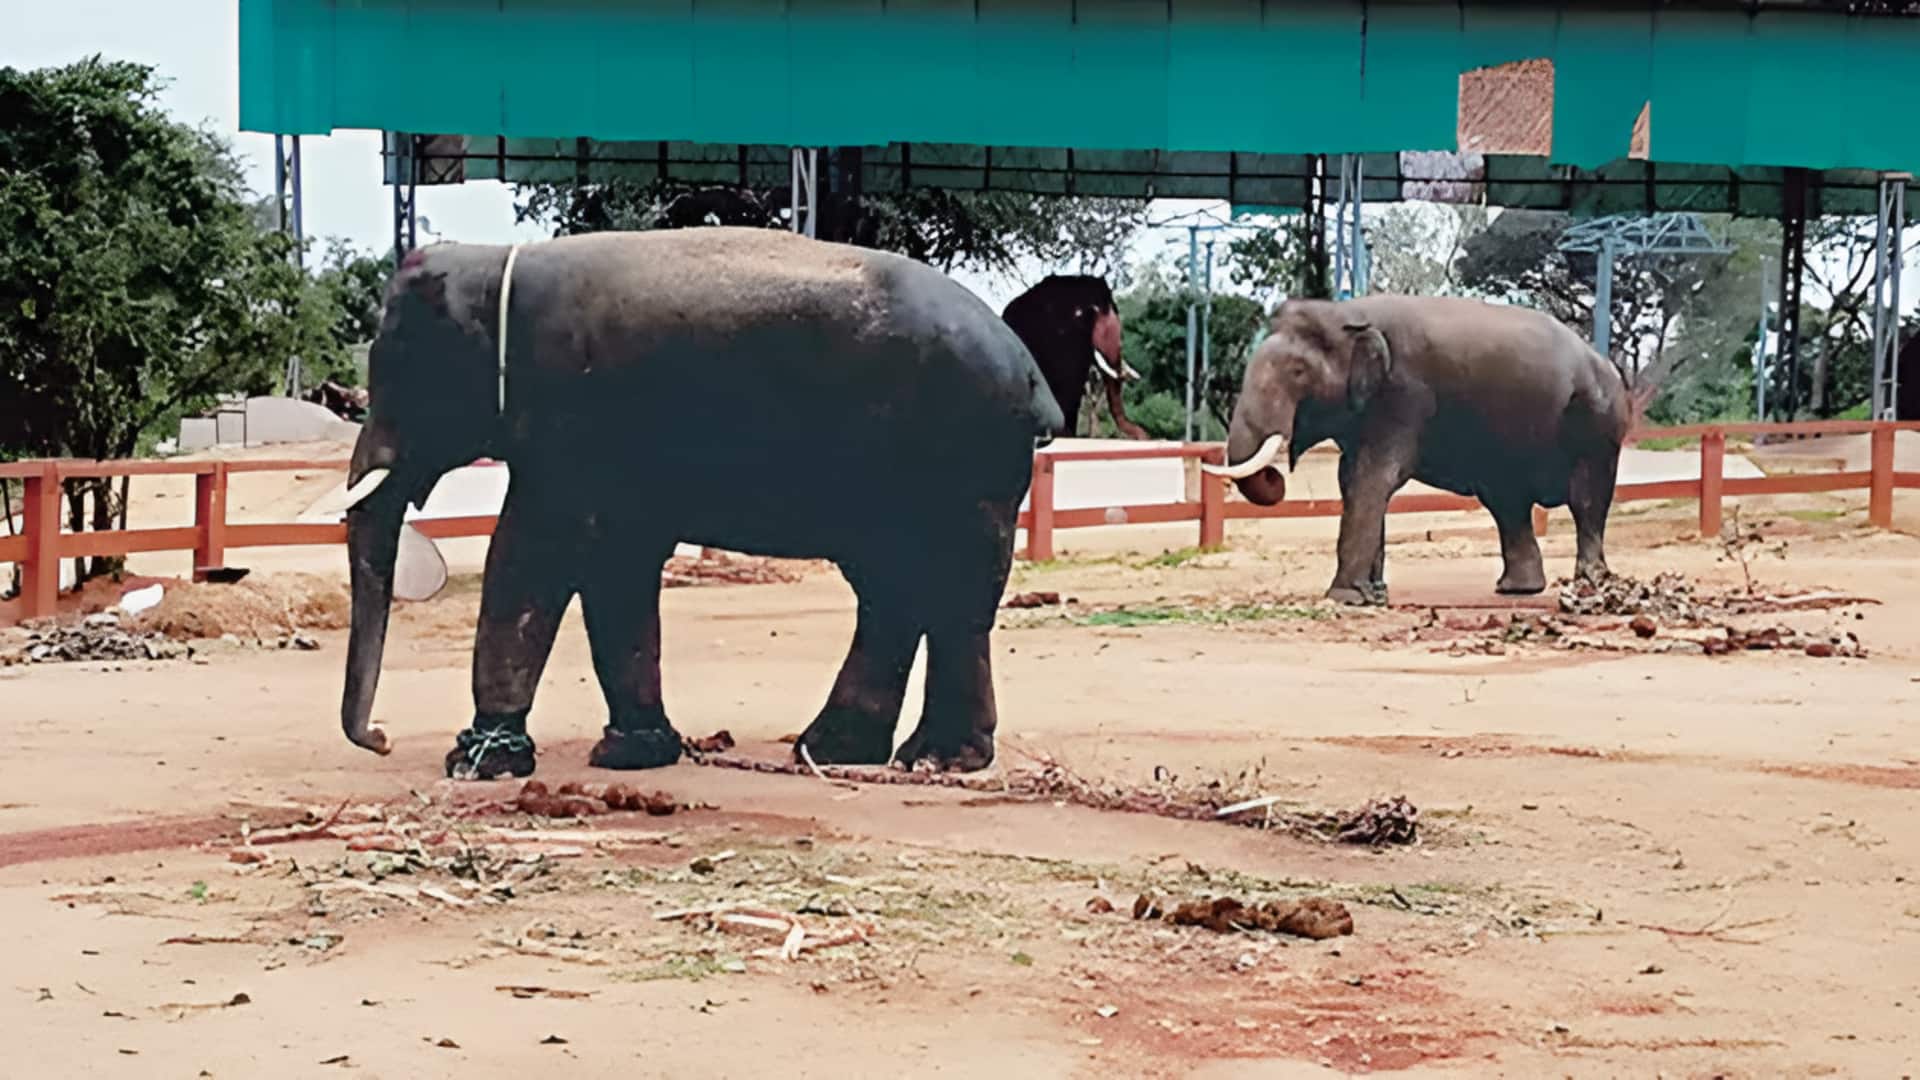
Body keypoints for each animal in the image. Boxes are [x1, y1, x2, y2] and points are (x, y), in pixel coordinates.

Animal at [339, 227, 1063, 779]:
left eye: (399, 375)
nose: (381, 738)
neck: (498, 263)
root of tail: (1030, 373)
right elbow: (616, 565)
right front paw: (633, 755)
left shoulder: (569, 418)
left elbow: (532, 553)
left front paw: (480, 763)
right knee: (894, 590)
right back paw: (834, 751)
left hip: (961, 462)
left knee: (950, 593)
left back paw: (933, 760)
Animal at [1205, 295, 1630, 605]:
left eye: (1297, 372)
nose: (1278, 474)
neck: (1347, 313)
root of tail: (1605, 363)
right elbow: (1353, 480)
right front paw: (1372, 596)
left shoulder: (1403, 396)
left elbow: (1372, 479)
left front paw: (1344, 598)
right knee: (1508, 504)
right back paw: (1517, 589)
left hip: (1597, 424)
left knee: (1586, 500)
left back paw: (1589, 583)